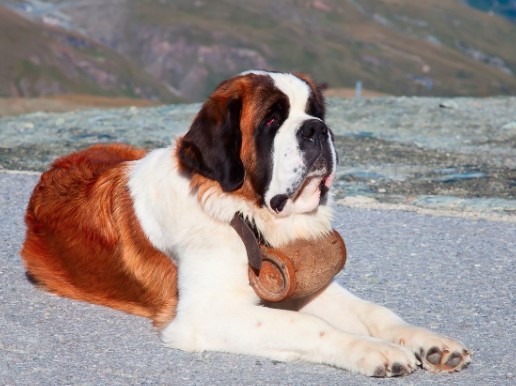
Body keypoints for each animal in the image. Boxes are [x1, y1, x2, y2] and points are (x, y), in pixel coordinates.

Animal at [22, 70, 470, 376]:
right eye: (272, 120)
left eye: (315, 112)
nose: (318, 129)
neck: (243, 216)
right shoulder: (205, 314)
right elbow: (307, 325)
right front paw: (375, 350)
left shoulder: (300, 281)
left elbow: (374, 311)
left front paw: (429, 342)